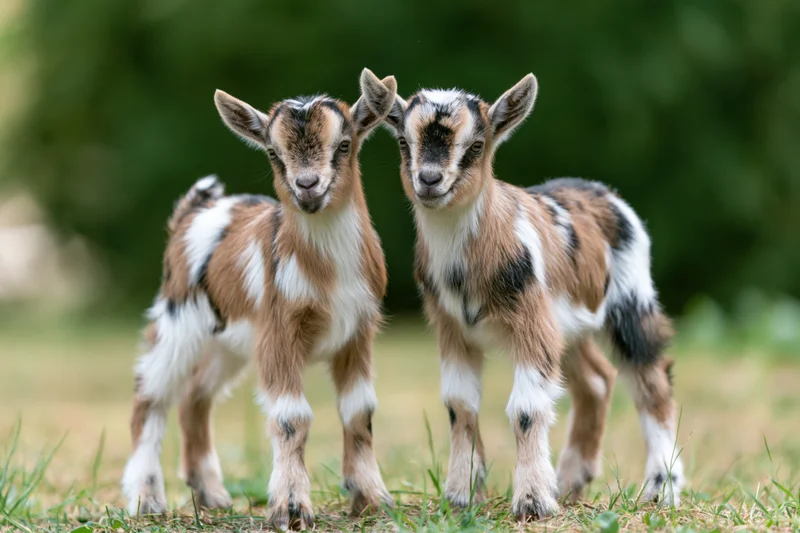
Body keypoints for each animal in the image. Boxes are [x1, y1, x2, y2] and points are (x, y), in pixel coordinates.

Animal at [122, 69, 397, 530]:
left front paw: (373, 499)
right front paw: (290, 508)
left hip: (228, 343)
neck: (327, 272)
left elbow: (360, 411)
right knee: (151, 394)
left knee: (195, 397)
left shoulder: (358, 331)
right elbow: (291, 416)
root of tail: (192, 213)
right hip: (178, 320)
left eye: (344, 144)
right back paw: (147, 497)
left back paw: (212, 495)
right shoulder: (279, 329)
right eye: (273, 152)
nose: (307, 186)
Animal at [365, 74, 684, 520]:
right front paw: (461, 496)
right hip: (567, 326)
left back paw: (661, 489)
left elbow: (527, 408)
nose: (428, 179)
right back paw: (570, 480)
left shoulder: (531, 318)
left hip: (630, 300)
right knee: (597, 380)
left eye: (477, 145)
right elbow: (460, 405)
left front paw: (532, 501)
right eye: (402, 141)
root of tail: (605, 192)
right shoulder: (452, 326)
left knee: (652, 382)